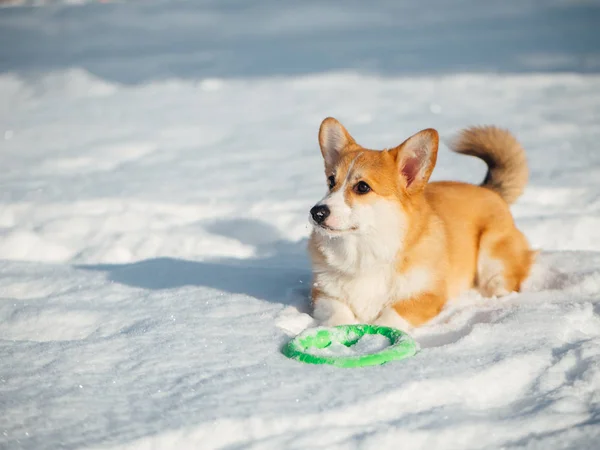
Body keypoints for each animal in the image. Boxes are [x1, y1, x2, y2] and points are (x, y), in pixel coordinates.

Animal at [310, 118, 536, 332]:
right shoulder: (322, 293)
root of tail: (489, 190)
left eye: (362, 187)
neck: (366, 251)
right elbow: (338, 314)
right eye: (331, 181)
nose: (316, 213)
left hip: (491, 256)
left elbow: (392, 315)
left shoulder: (427, 296)